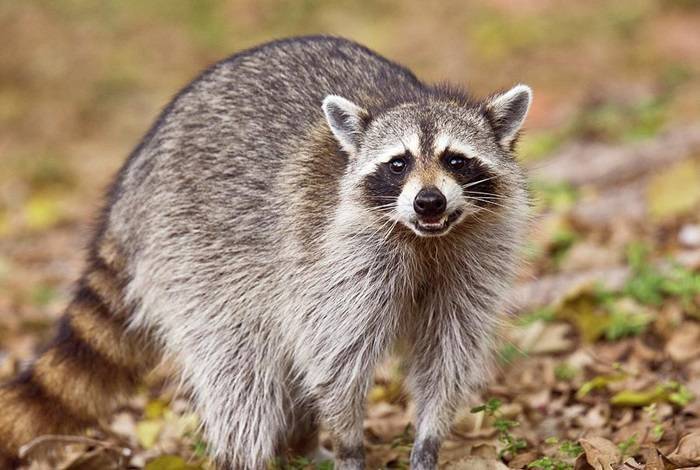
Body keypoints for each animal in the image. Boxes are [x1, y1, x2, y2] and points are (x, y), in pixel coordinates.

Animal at [0, 36, 531, 469]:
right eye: (398, 164)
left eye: (456, 160)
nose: (429, 201)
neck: (426, 241)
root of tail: (134, 178)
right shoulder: (334, 260)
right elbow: (335, 358)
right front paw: (348, 440)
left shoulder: (473, 260)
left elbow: (448, 351)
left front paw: (429, 437)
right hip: (190, 248)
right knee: (239, 365)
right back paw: (249, 454)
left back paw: (299, 444)